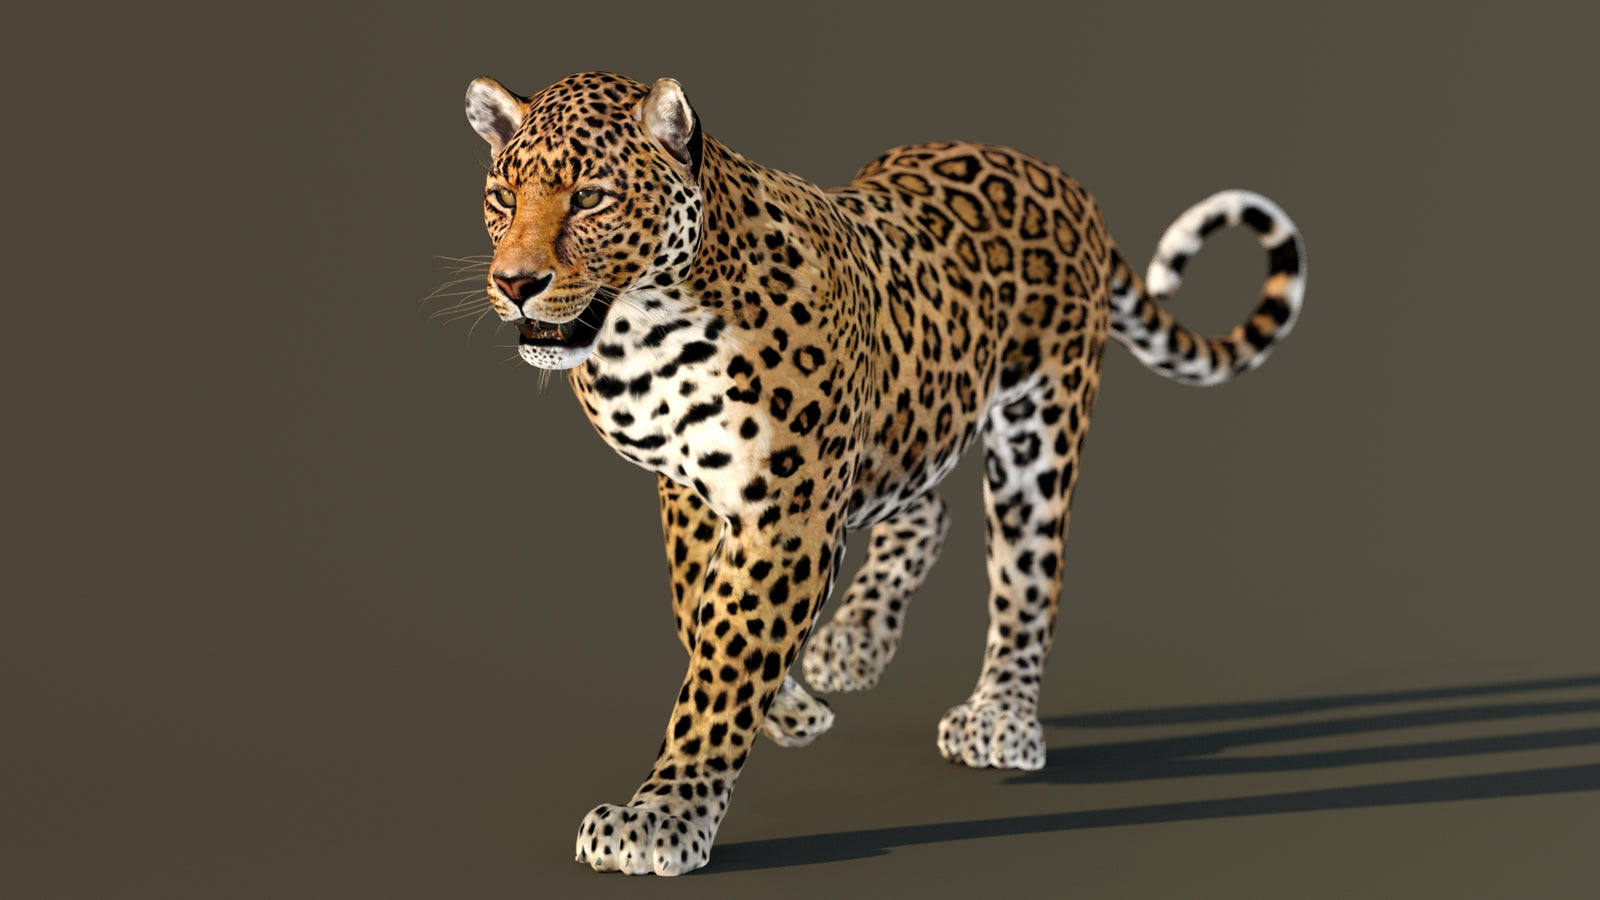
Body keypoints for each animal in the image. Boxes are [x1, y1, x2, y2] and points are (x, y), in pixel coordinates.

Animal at [459, 71, 1305, 876]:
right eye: (503, 198)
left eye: (591, 197)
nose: (515, 284)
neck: (644, 337)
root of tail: (1061, 177)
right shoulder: (694, 488)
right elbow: (696, 613)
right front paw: (791, 711)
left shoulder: (788, 510)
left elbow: (727, 658)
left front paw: (661, 816)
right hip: (903, 418)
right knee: (925, 509)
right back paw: (854, 642)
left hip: (1038, 429)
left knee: (1027, 577)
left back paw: (1000, 717)